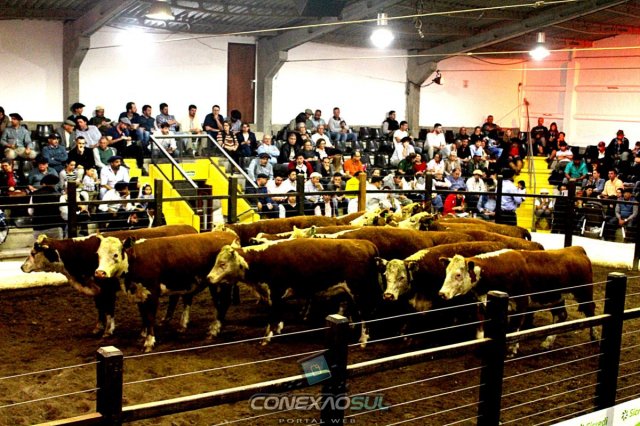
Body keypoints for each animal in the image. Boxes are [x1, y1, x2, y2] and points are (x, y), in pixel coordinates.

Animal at [20, 225, 198, 337]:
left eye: (34, 252)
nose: (22, 267)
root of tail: (192, 229)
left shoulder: (107, 288)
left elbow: (109, 309)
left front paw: (108, 330)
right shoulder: (97, 289)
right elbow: (100, 309)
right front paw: (98, 327)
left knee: (185, 298)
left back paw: (181, 325)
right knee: (175, 297)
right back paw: (166, 319)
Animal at [94, 231, 238, 352]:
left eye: (115, 255)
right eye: (98, 255)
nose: (100, 273)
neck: (135, 260)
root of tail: (228, 234)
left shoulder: (152, 293)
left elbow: (150, 317)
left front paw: (149, 342)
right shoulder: (140, 293)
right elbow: (143, 314)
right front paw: (143, 334)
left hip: (220, 284)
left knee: (223, 303)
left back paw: (214, 330)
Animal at [207, 239, 381, 346]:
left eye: (222, 264)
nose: (209, 278)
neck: (261, 260)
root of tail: (366, 244)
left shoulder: (274, 293)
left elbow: (272, 316)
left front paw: (266, 338)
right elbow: (277, 315)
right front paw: (277, 330)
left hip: (359, 291)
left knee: (365, 315)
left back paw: (363, 340)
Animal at [438, 246, 597, 354]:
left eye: (458, 274)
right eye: (446, 272)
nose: (442, 293)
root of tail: (576, 249)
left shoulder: (521, 303)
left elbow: (515, 326)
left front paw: (512, 349)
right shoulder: (482, 303)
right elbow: (480, 327)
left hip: (584, 293)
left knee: (590, 311)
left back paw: (594, 336)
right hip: (556, 298)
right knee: (561, 315)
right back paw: (547, 342)